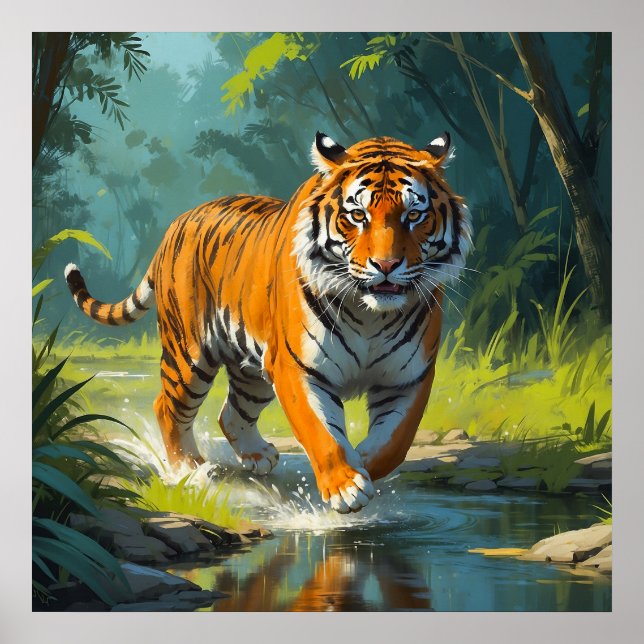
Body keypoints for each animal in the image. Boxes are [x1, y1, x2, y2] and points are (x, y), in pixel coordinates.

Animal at [65, 132, 473, 514]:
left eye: (414, 216)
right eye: (358, 216)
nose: (386, 266)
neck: (370, 313)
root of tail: (176, 224)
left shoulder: (408, 377)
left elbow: (395, 442)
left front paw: (362, 465)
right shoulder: (299, 368)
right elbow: (321, 432)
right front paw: (345, 485)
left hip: (253, 372)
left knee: (231, 414)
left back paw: (256, 455)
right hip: (189, 357)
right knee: (167, 406)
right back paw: (189, 470)